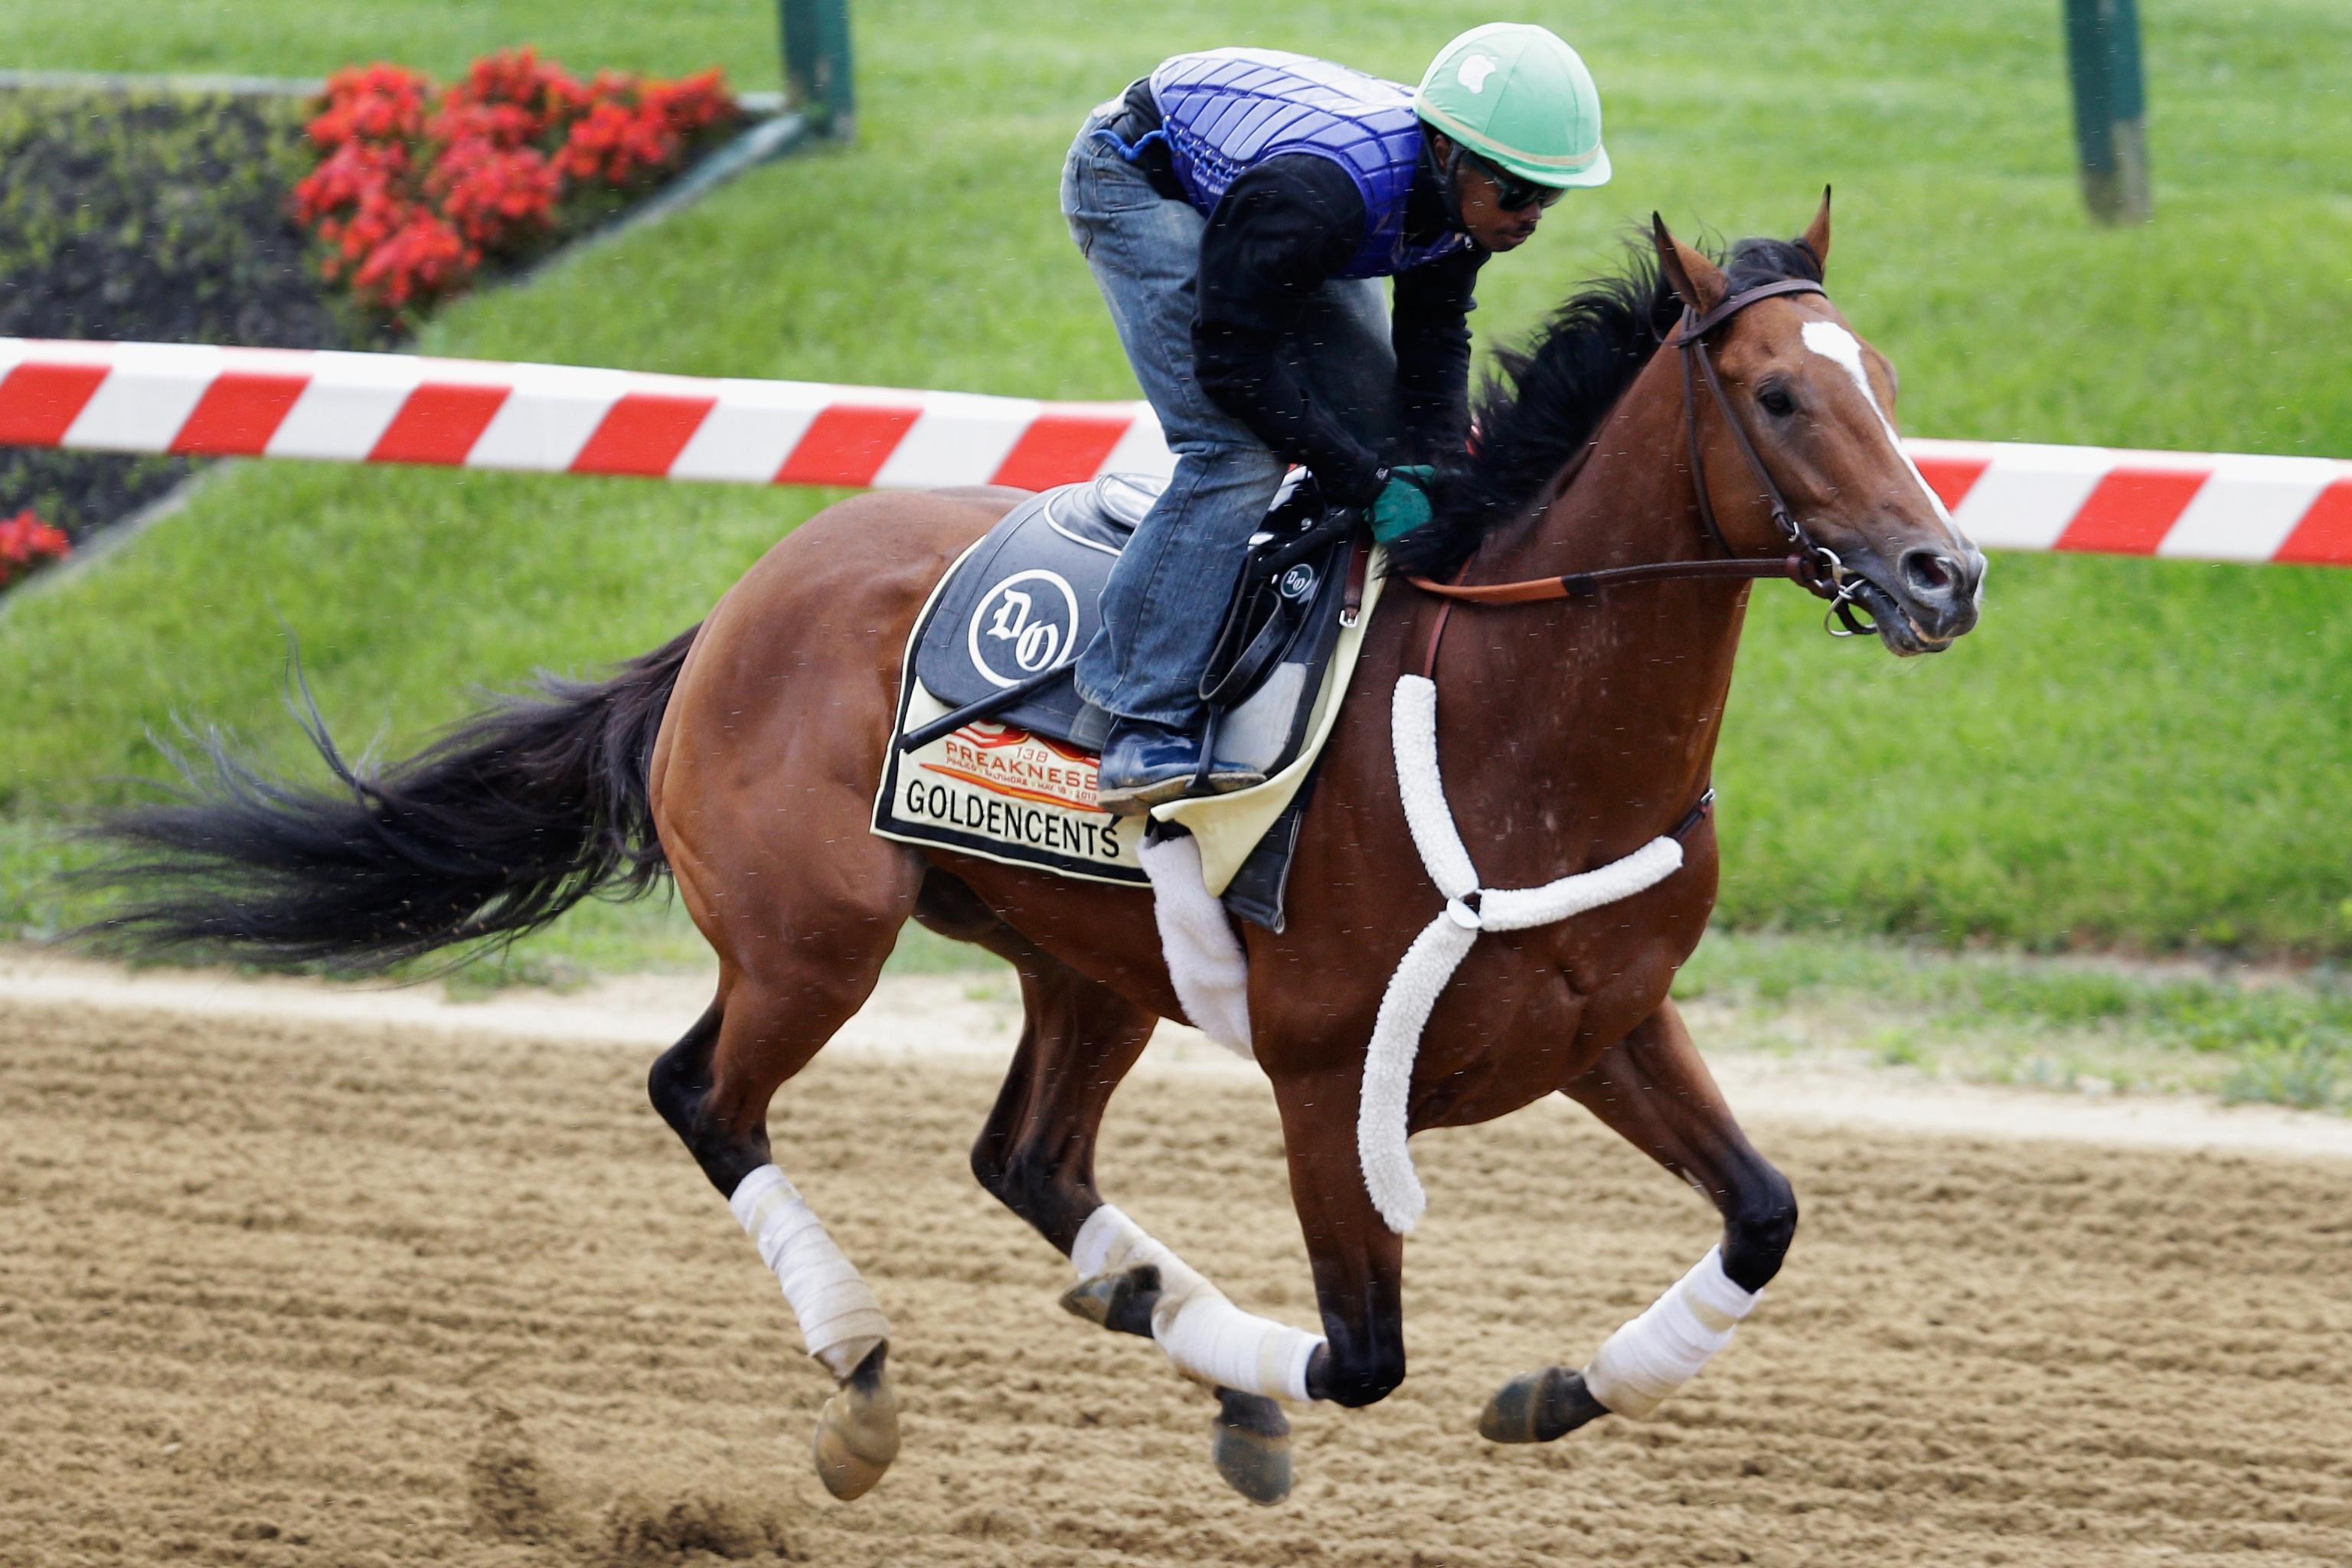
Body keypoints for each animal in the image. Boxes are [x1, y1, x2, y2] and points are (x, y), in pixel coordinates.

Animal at [83, 199, 1975, 1504]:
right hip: (812, 941)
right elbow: (1364, 1353)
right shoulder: (1321, 1073)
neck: (1510, 722)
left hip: (1089, 960)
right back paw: (867, 1369)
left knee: (1025, 1156)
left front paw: (1558, 1386)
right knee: (706, 1094)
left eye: (1886, 383)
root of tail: (732, 608)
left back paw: (1152, 1312)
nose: (1945, 573)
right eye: (1781, 396)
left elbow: (1764, 1214)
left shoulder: (1605, 1019)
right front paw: (1281, 1377)